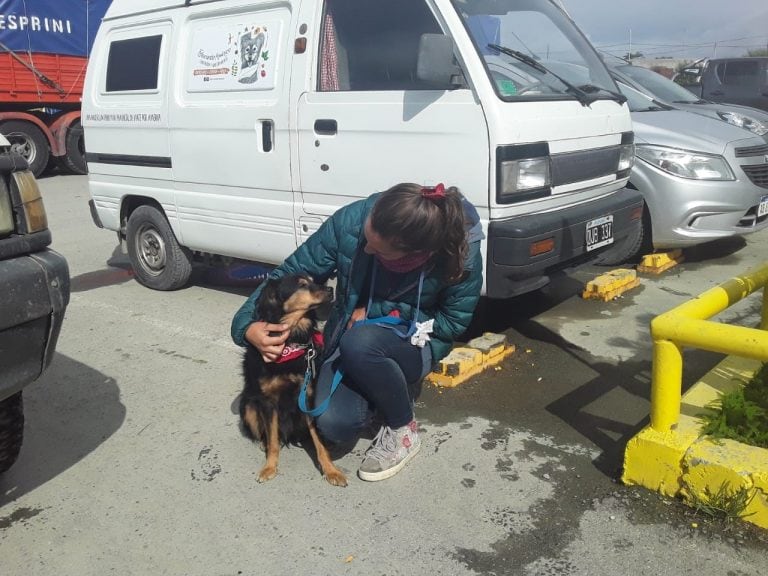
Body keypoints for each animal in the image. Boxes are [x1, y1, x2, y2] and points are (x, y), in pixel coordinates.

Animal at [240, 274, 348, 486]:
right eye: (302, 285)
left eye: (312, 280)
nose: (331, 290)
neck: (291, 342)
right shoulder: (268, 401)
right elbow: (273, 439)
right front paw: (269, 467)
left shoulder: (308, 397)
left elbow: (319, 441)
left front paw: (331, 471)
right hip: (248, 406)